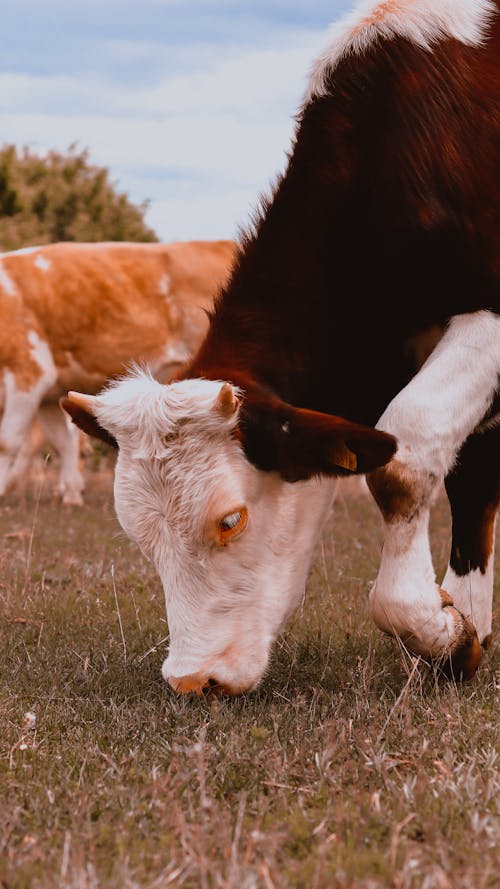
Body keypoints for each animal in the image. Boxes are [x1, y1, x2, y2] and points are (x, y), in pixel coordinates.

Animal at [63, 0, 500, 692]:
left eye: (231, 519)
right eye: (137, 535)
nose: (193, 680)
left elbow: (404, 460)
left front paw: (433, 628)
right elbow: (472, 476)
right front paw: (465, 630)